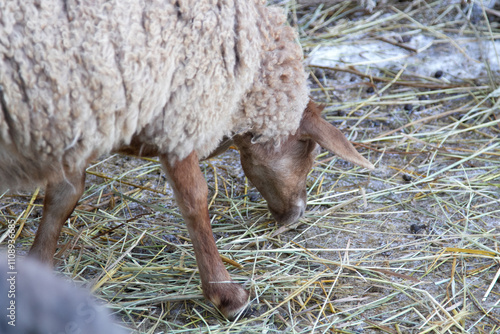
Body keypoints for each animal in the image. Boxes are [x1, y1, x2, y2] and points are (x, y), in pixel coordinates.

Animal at [0, 0, 376, 318]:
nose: (296, 214)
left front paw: (39, 270)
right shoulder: (179, 113)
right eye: (309, 150)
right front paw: (225, 293)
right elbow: (195, 199)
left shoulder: (77, 116)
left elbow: (65, 195)